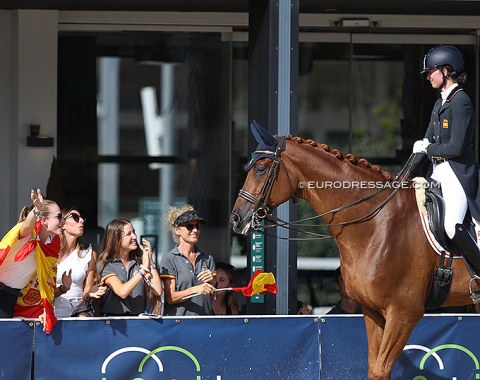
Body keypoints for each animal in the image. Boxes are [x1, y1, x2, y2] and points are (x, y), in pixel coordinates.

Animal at [231, 127, 474, 378]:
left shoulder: (404, 312)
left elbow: (380, 370)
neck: (377, 223)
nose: (237, 218)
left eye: (260, 169)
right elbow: (374, 368)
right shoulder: (373, 311)